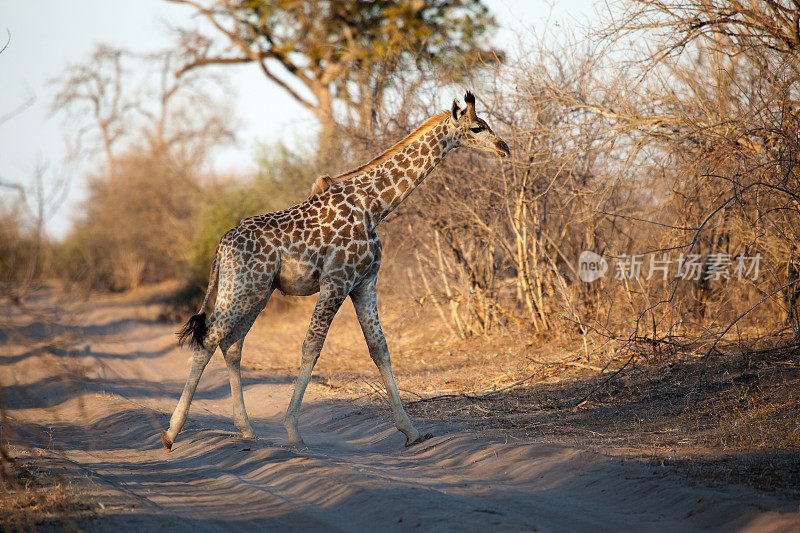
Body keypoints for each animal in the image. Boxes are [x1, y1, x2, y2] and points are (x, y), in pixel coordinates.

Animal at [162, 90, 510, 448]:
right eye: (477, 127)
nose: (504, 147)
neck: (375, 206)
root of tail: (221, 247)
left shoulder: (364, 282)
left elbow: (379, 348)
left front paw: (411, 430)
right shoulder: (336, 280)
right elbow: (312, 346)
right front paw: (293, 430)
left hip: (257, 293)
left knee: (232, 345)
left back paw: (246, 429)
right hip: (241, 289)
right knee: (208, 340)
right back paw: (172, 432)